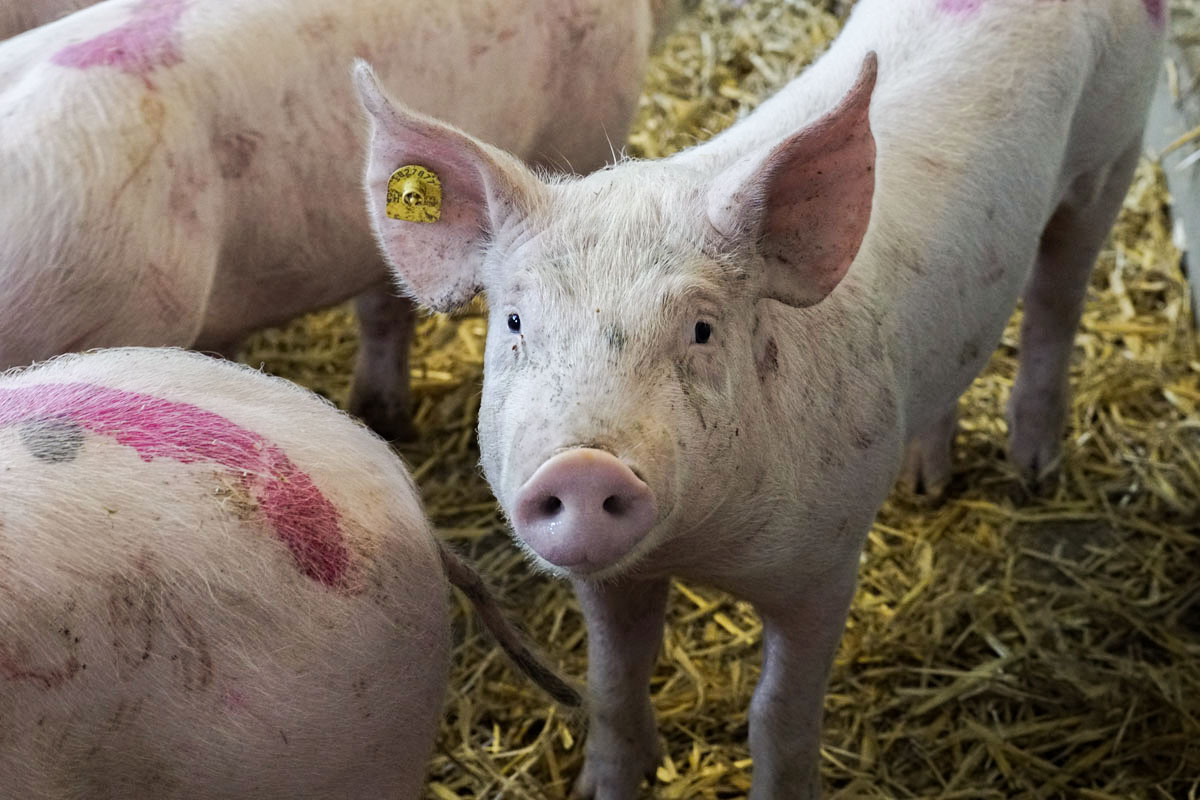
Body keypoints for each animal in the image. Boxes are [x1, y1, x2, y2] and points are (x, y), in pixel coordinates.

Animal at [350, 0, 1161, 796]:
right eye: (516, 322)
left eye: (702, 329)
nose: (584, 467)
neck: (700, 547)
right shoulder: (613, 579)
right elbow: (612, 686)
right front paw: (608, 782)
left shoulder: (827, 566)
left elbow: (777, 716)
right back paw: (924, 484)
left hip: (1115, 153)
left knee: (1057, 299)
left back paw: (1034, 472)